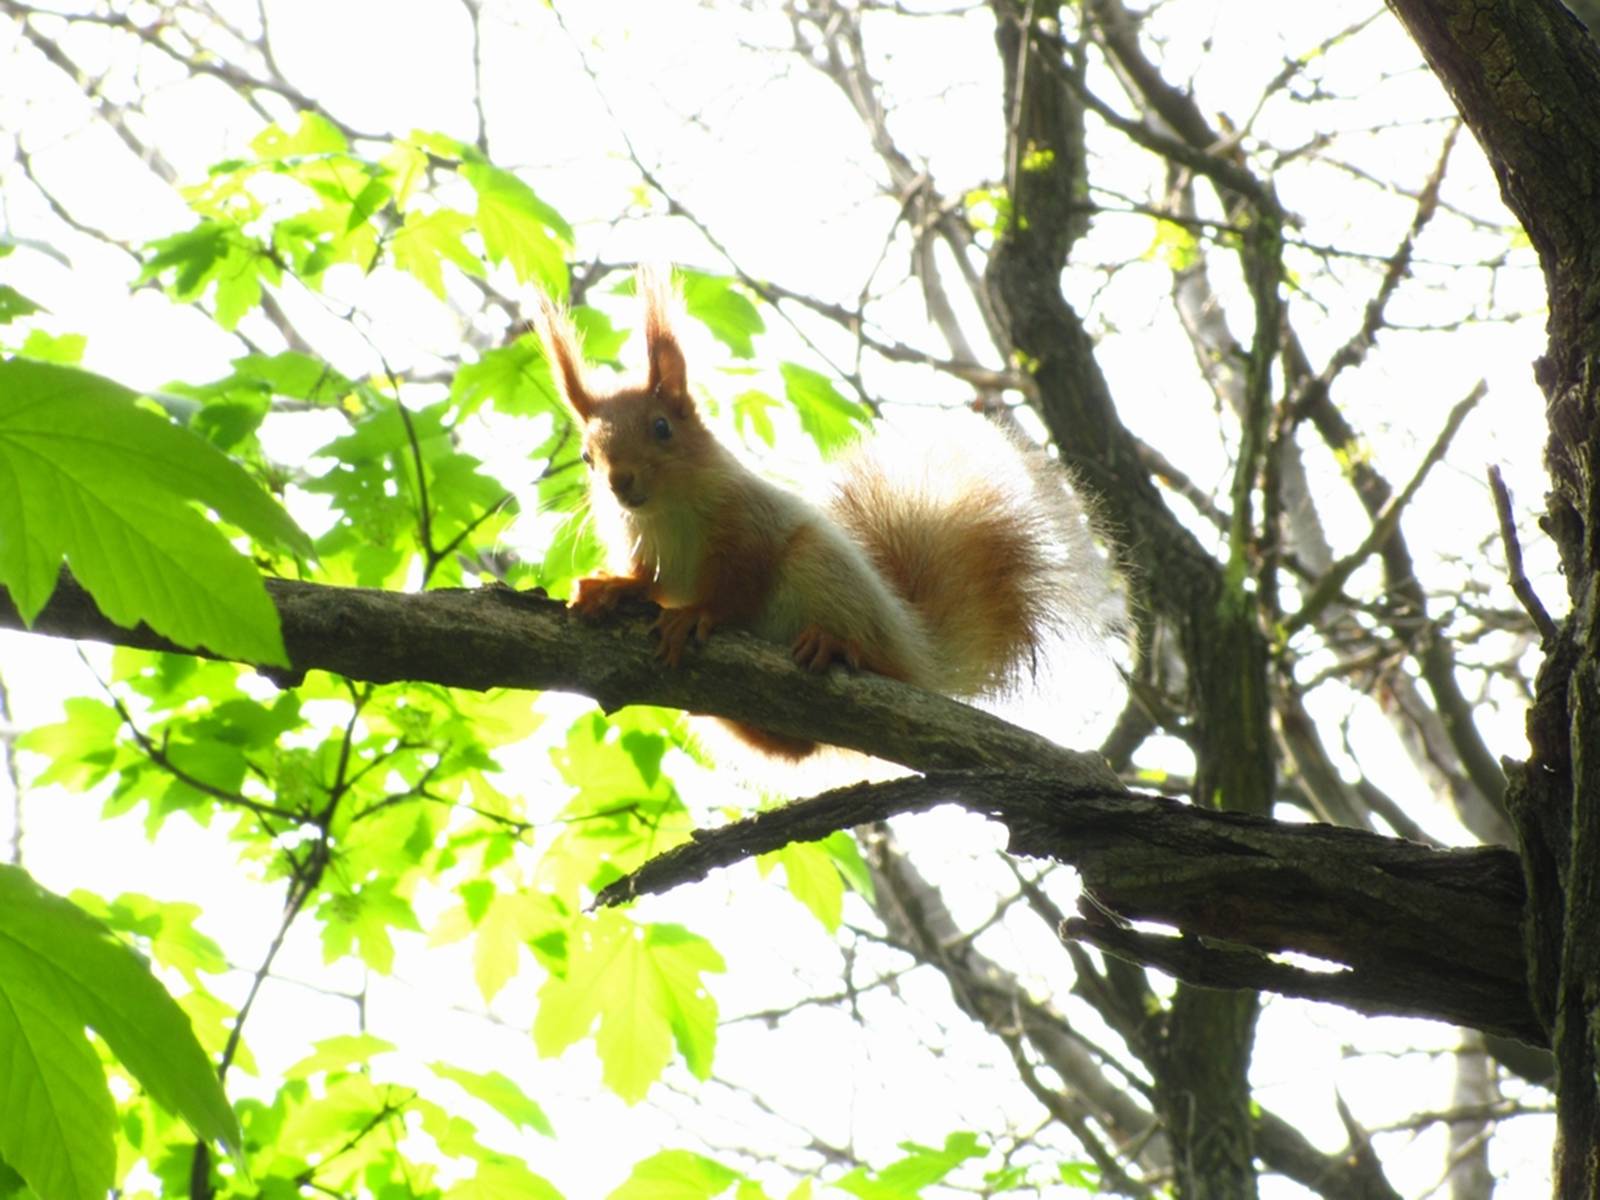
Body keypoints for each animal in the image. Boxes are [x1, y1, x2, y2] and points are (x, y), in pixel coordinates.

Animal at [537, 272, 1088, 761]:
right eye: (587, 456)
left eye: (661, 428)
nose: (620, 482)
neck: (664, 513)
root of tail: (920, 653)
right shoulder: (646, 548)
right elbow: (649, 582)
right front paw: (612, 587)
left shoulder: (749, 524)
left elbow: (739, 583)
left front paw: (697, 614)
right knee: (795, 747)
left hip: (821, 569)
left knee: (870, 662)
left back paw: (837, 645)